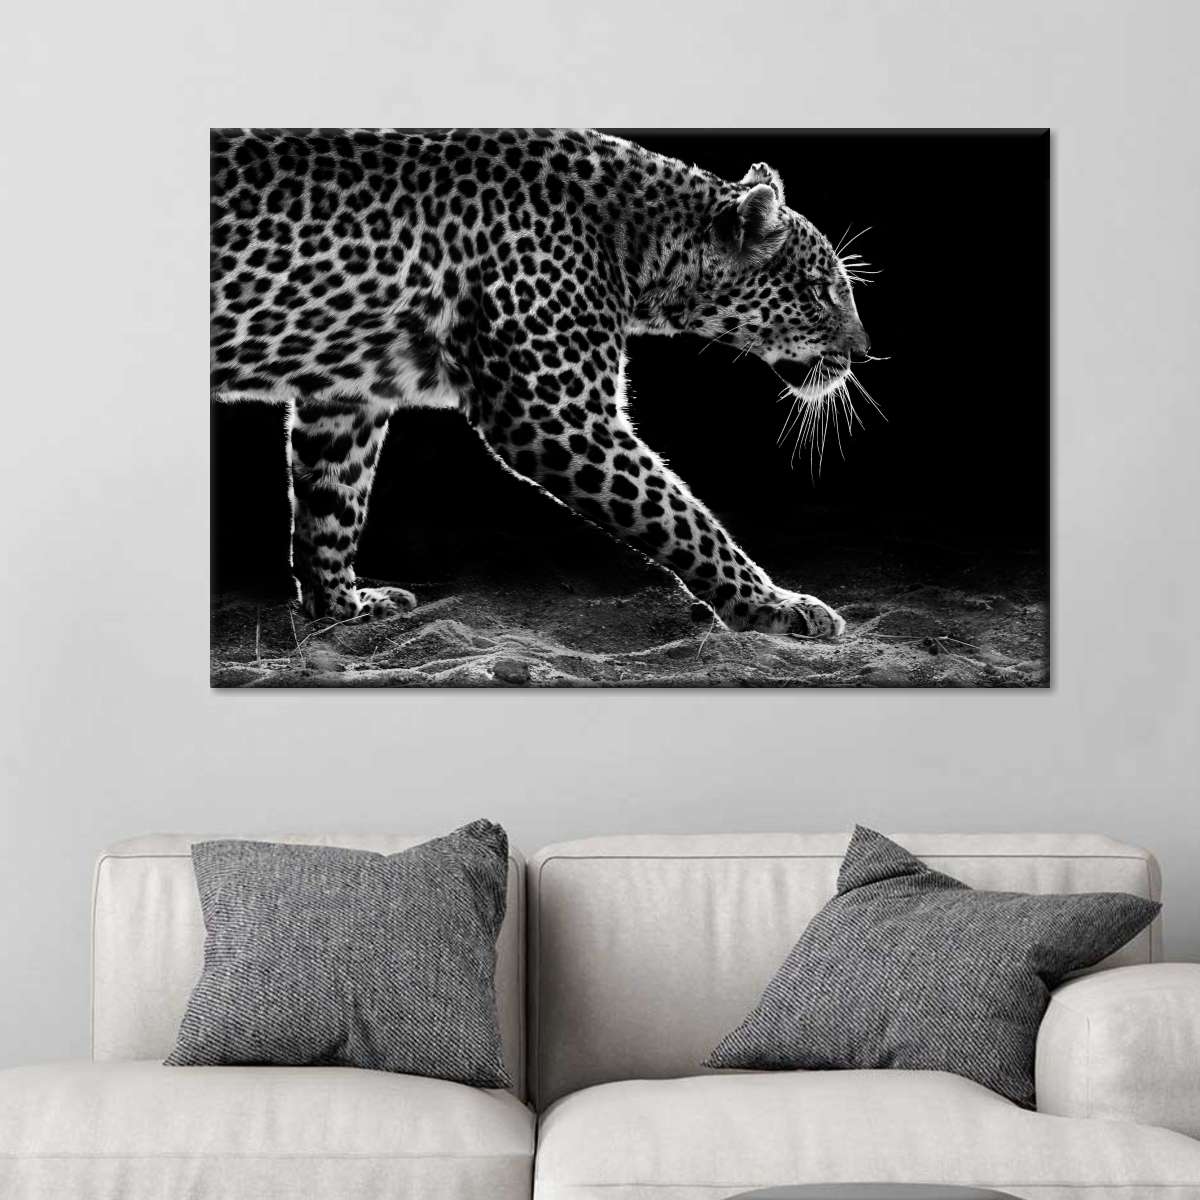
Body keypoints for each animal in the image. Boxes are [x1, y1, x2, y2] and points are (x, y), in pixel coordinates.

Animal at [210, 128, 873, 638]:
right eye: (821, 290)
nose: (862, 353)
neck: (642, 245)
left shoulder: (347, 395)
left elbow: (331, 503)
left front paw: (342, 608)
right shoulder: (557, 413)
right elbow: (683, 517)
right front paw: (773, 606)